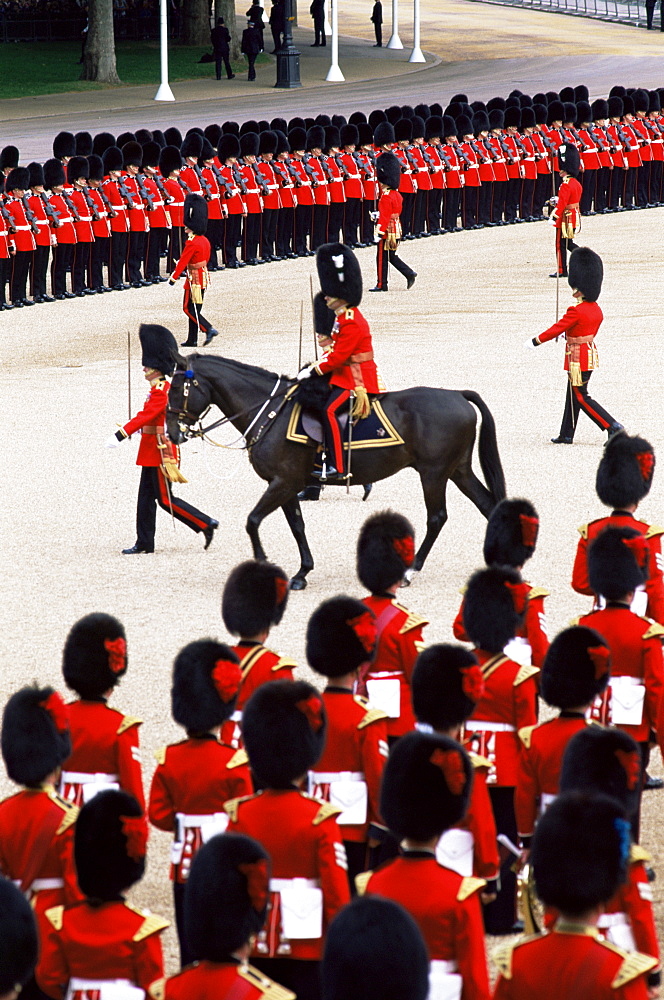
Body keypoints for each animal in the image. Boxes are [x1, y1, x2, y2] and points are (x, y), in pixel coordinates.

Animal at [169, 354, 506, 588]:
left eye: (175, 390)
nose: (172, 433)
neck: (270, 412)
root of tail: (456, 394)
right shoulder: (287, 485)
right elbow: (297, 526)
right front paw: (302, 572)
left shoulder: (282, 482)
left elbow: (253, 521)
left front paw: (262, 564)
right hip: (457, 470)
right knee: (488, 506)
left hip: (433, 473)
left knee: (437, 517)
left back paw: (410, 570)